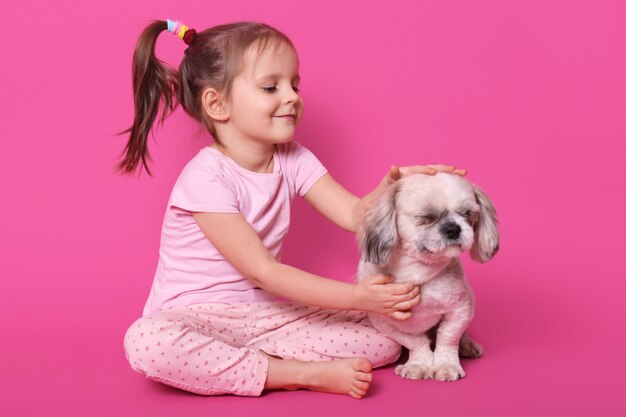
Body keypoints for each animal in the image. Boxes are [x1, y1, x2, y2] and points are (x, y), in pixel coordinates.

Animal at [356, 172, 498, 380]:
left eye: (467, 214)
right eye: (426, 217)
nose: (453, 229)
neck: (416, 271)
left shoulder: (461, 310)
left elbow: (448, 338)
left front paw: (446, 365)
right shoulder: (385, 323)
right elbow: (416, 342)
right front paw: (419, 364)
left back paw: (467, 345)